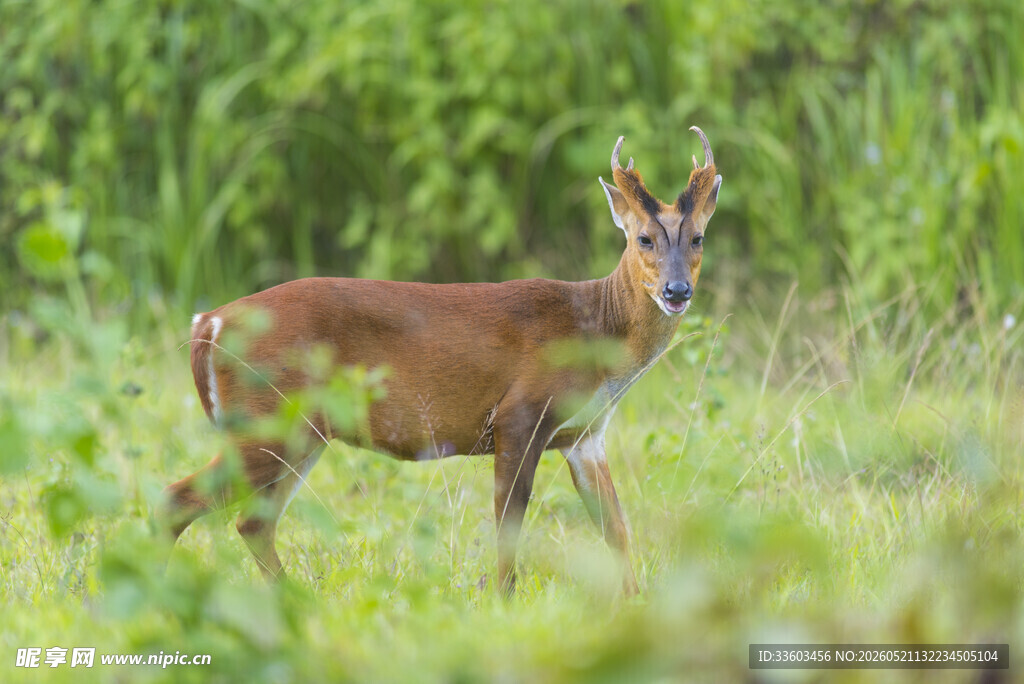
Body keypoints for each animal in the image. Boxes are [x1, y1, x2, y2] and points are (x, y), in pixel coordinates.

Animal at [157, 128, 721, 596]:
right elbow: (509, 528)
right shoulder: (519, 415)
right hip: (268, 419)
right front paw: (502, 603)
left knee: (253, 521)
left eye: (698, 238)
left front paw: (636, 605)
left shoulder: (585, 435)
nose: (676, 291)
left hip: (299, 433)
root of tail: (208, 323)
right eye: (643, 238)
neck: (595, 330)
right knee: (179, 499)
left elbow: (617, 530)